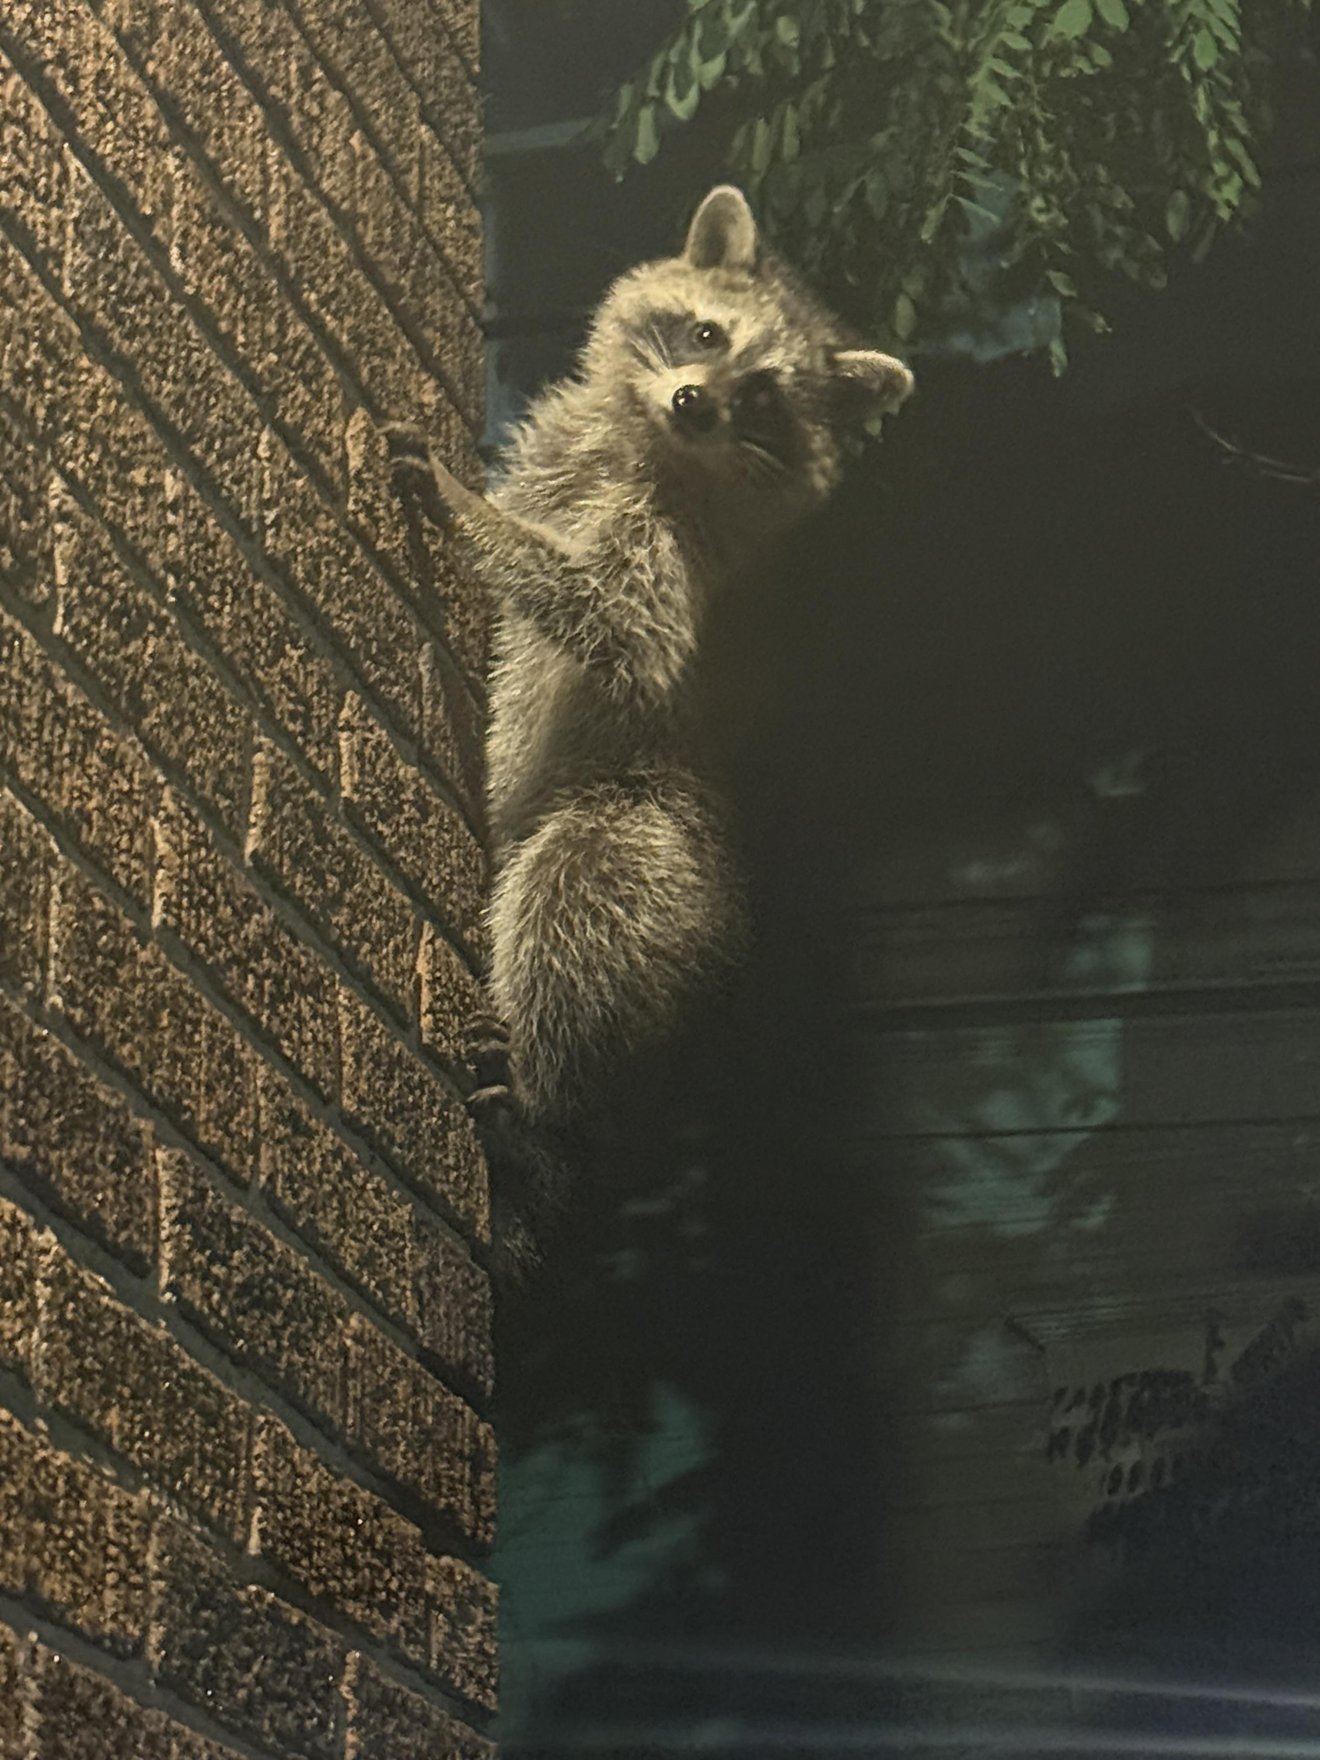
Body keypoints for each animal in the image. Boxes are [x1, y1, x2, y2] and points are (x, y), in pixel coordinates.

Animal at [388, 184, 911, 1177]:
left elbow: (617, 627)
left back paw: (545, 1103)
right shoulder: (562, 451)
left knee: (581, 894)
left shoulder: (670, 550)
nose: (693, 402)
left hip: (656, 840)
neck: (653, 442)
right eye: (706, 334)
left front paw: (469, 515)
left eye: (762, 395)